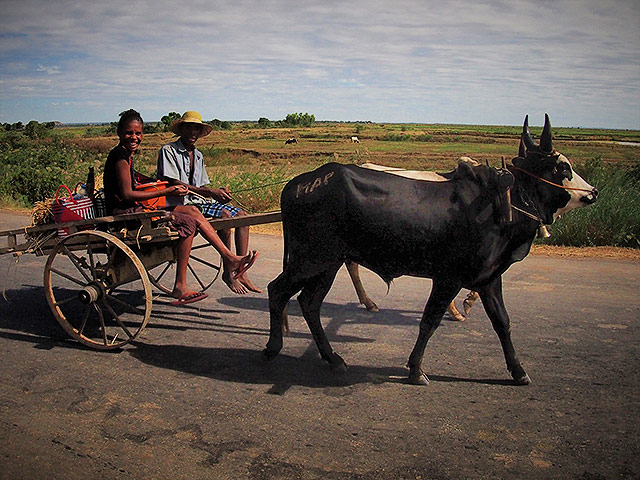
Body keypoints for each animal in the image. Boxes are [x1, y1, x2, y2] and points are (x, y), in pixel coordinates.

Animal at [264, 115, 600, 386]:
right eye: (563, 167)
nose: (594, 193)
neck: (502, 201)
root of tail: (296, 184)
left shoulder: (489, 278)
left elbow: (502, 322)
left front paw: (518, 371)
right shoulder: (448, 278)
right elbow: (429, 321)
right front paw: (416, 369)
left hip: (327, 264)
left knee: (309, 303)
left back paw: (333, 358)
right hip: (311, 260)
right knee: (277, 290)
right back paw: (273, 347)